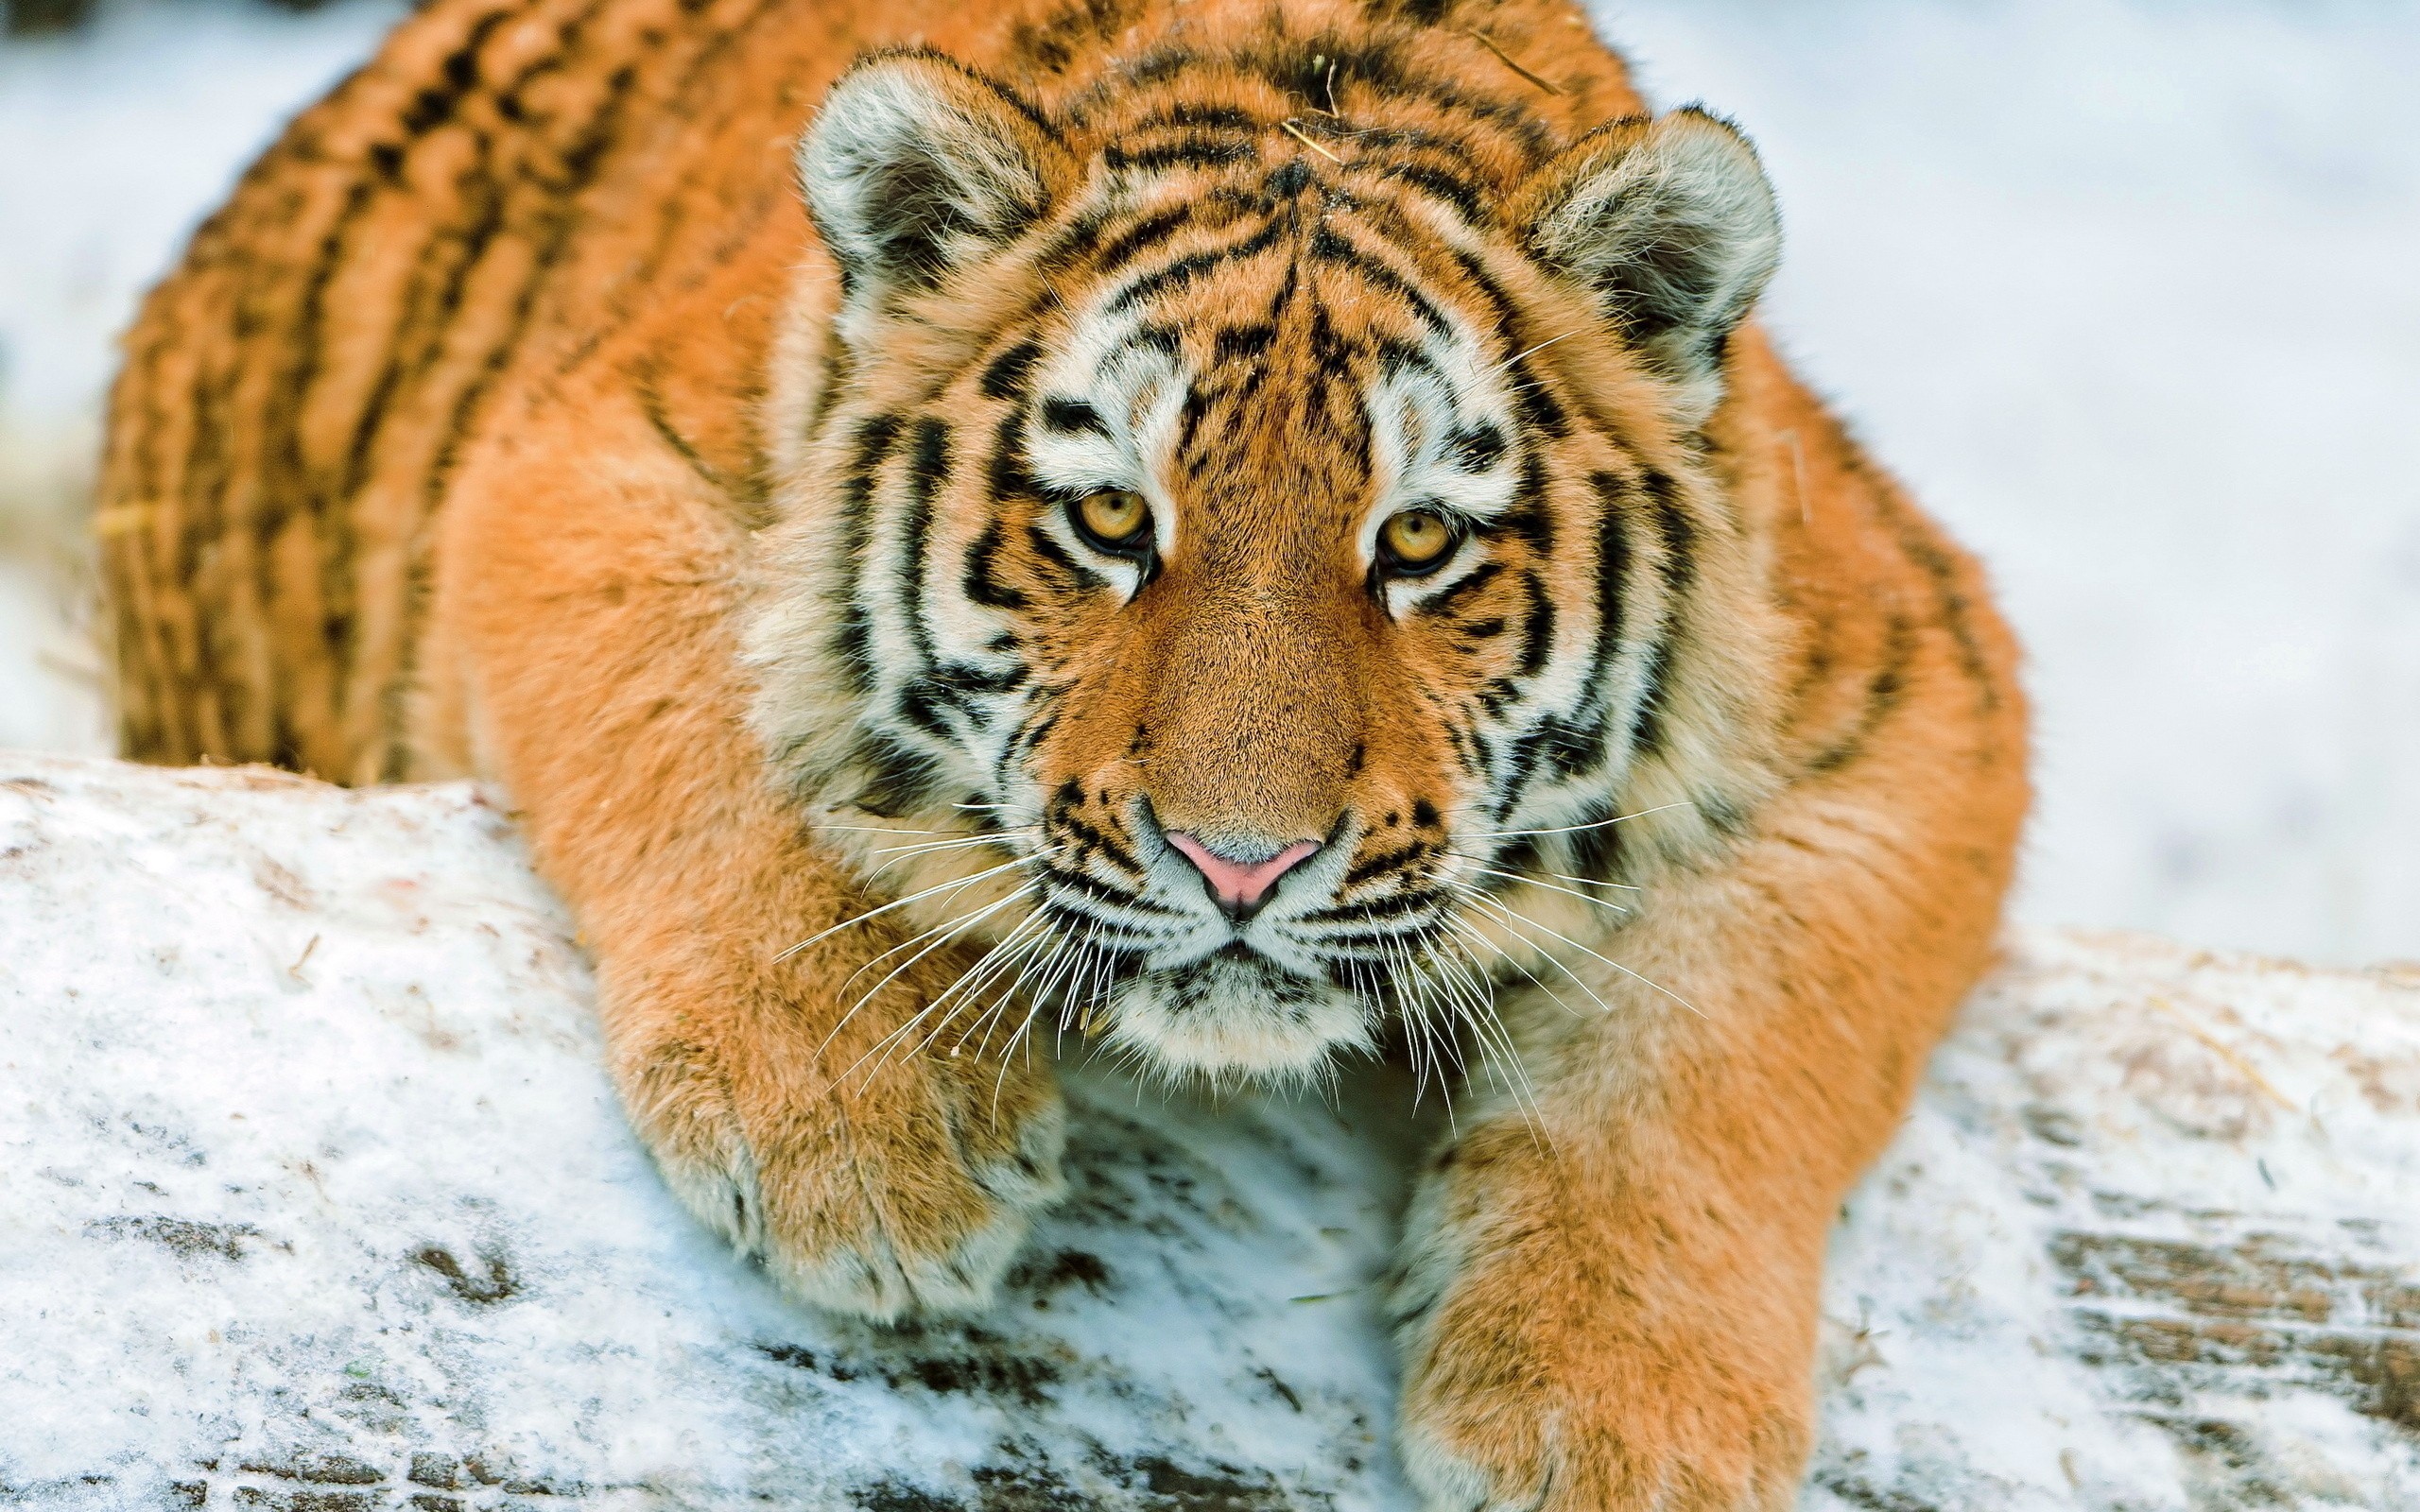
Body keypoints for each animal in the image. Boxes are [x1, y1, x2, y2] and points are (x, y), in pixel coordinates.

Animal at [94, 0, 2032, 1500]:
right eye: (1111, 519)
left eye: (1417, 543)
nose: (1241, 865)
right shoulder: (597, 449)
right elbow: (717, 741)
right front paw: (864, 1150)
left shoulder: (1915, 678)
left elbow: (1722, 1035)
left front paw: (1613, 1424)